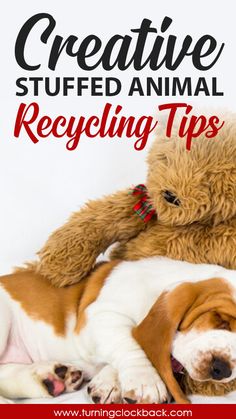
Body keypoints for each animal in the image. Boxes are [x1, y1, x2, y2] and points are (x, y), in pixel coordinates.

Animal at [0, 258, 236, 406]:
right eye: (220, 320)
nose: (222, 369)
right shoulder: (100, 316)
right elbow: (129, 342)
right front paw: (145, 381)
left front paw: (109, 383)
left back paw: (54, 377)